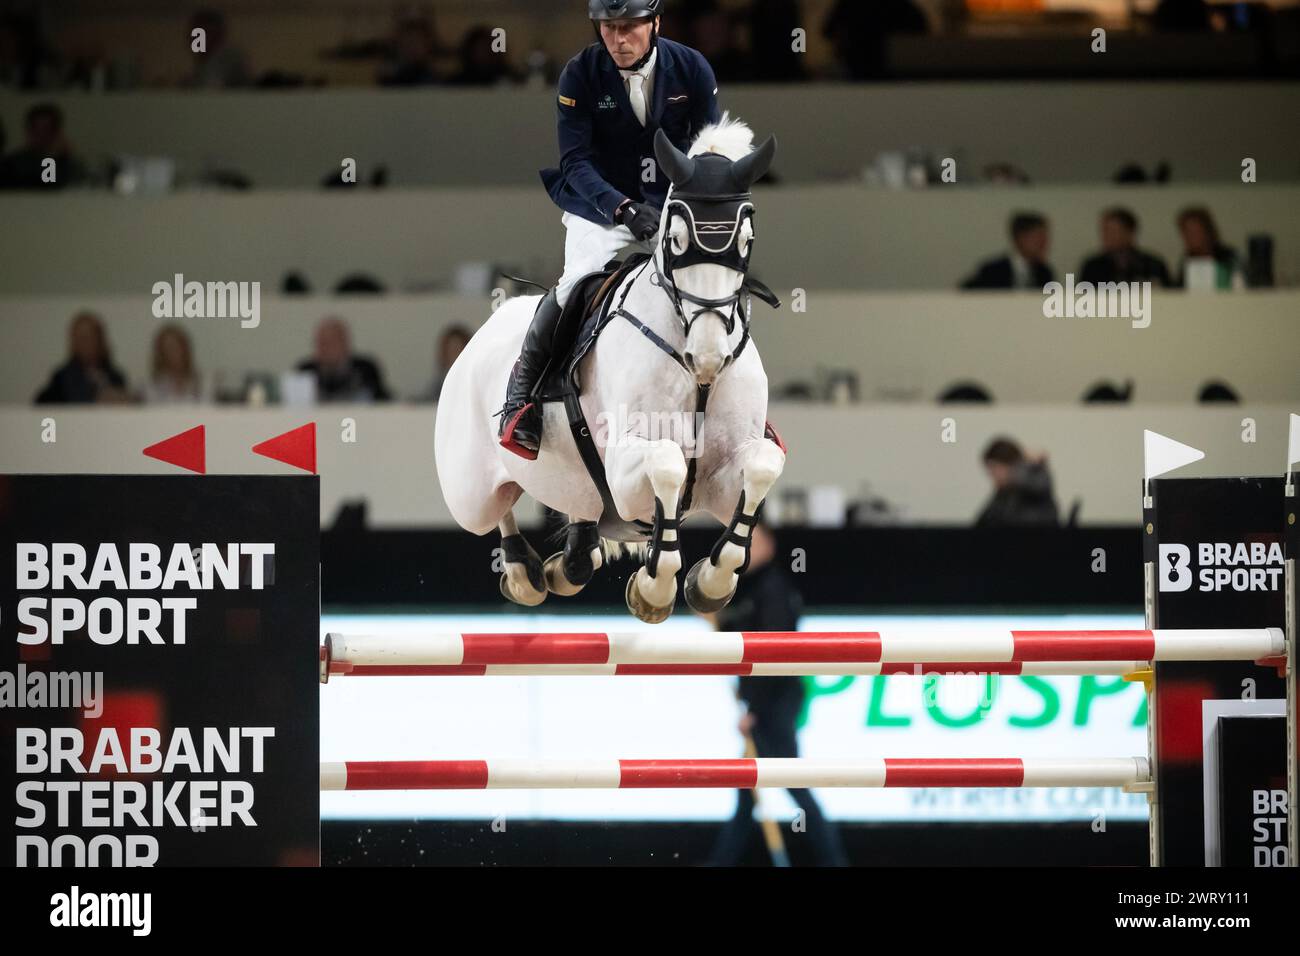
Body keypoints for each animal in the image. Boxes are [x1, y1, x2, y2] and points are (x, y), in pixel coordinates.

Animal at [434, 115, 780, 624]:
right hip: (469, 492)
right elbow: (667, 462)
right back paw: (521, 572)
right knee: (496, 509)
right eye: (675, 241)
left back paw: (566, 564)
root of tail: (487, 328)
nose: (707, 358)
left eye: (745, 243)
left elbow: (762, 464)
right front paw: (655, 587)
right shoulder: (626, 468)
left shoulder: (723, 475)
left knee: (580, 520)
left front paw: (711, 582)